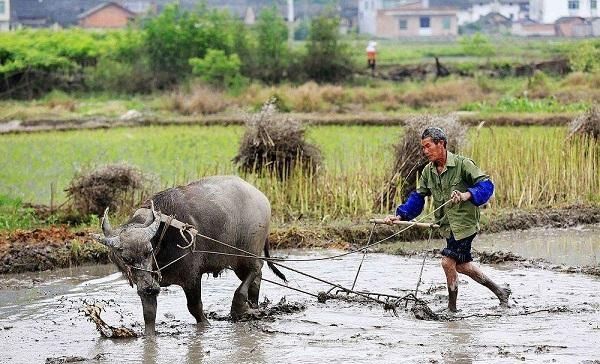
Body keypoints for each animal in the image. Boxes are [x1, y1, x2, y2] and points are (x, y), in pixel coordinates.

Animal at [92, 176, 288, 336]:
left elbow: (195, 307)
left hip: (247, 252)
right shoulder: (146, 284)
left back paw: (240, 307)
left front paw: (206, 325)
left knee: (256, 269)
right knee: (256, 278)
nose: (150, 288)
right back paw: (253, 306)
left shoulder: (191, 277)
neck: (162, 237)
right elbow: (149, 315)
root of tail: (261, 197)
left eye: (148, 251)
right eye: (126, 259)